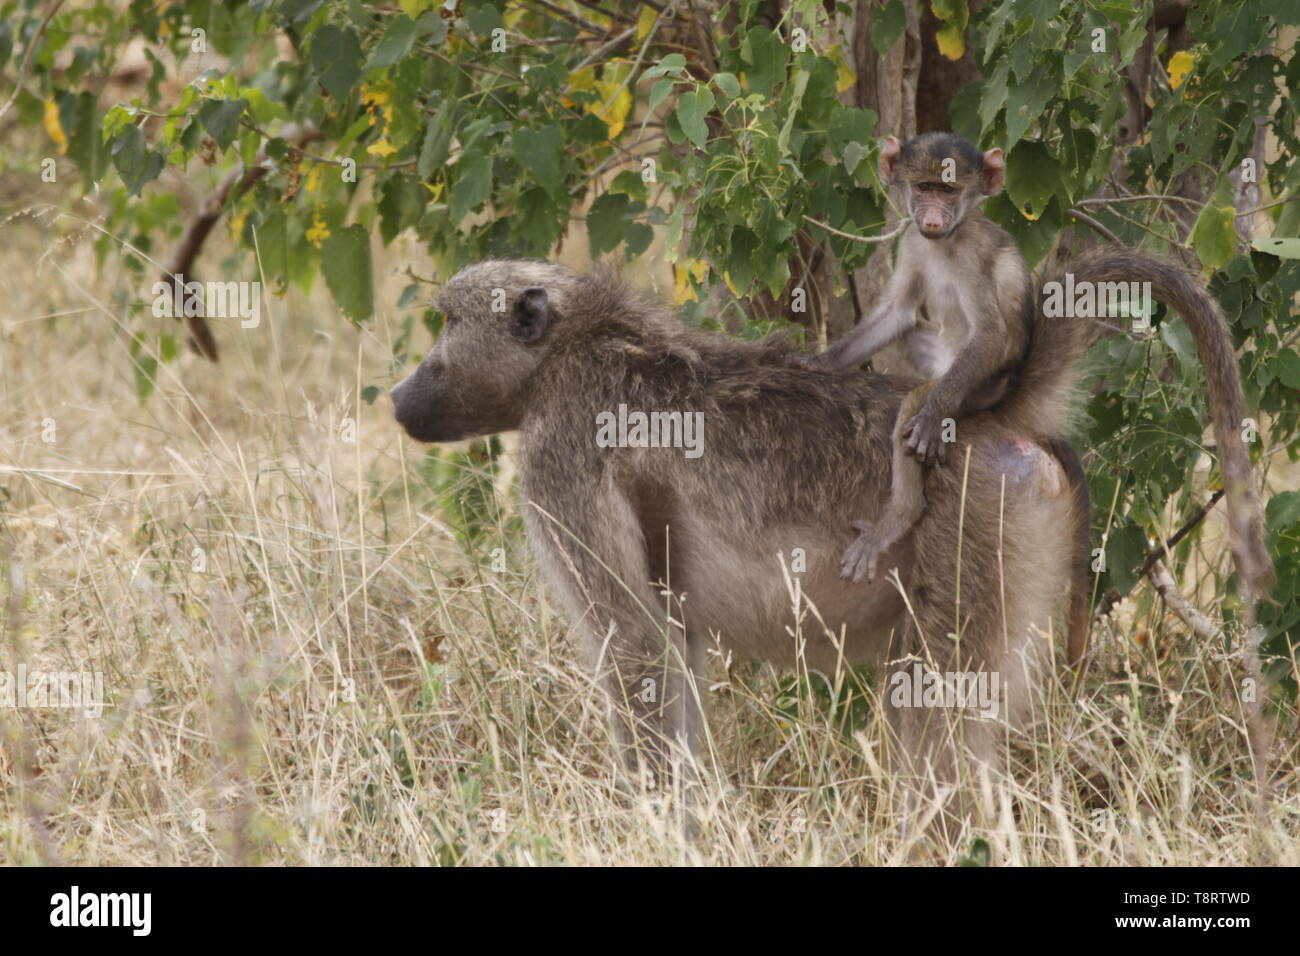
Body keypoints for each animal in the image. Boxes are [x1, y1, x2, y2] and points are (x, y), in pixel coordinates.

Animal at [391, 254, 1270, 842]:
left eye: (446, 324)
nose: (400, 396)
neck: (570, 350)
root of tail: (985, 415)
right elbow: (674, 653)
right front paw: (693, 825)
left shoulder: (561, 454)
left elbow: (634, 644)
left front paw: (649, 830)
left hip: (971, 522)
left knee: (933, 713)